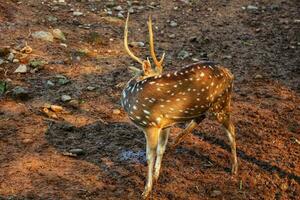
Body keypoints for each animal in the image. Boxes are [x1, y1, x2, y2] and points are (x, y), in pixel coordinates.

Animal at [120, 14, 238, 198]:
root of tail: (231, 75)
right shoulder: (165, 124)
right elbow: (161, 149)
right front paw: (156, 177)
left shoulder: (151, 124)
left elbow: (150, 155)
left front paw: (146, 190)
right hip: (208, 106)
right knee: (201, 118)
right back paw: (177, 142)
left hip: (222, 104)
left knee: (232, 130)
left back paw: (234, 169)